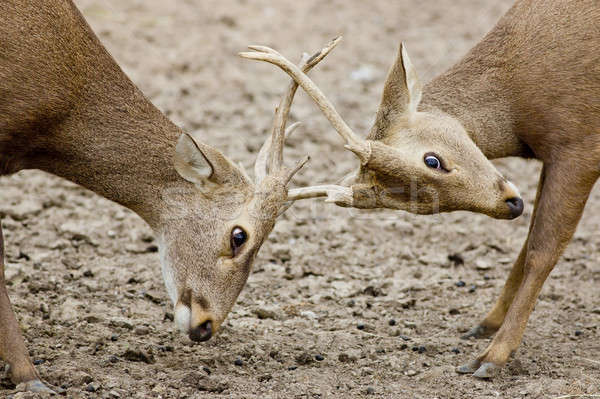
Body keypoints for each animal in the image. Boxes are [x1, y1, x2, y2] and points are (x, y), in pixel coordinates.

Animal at [243, 0, 600, 382]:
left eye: (432, 160)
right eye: (411, 202)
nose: (511, 204)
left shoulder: (579, 145)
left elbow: (541, 250)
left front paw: (490, 358)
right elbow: (527, 245)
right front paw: (484, 325)